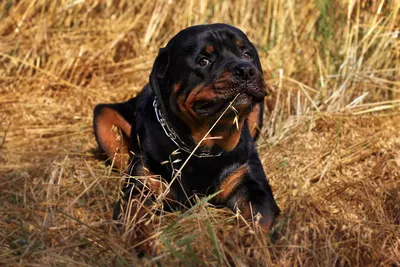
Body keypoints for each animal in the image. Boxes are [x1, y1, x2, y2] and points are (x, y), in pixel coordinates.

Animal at [94, 24, 280, 250]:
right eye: (203, 60)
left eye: (247, 54)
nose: (245, 69)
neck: (204, 145)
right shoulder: (143, 186)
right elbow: (135, 216)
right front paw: (142, 243)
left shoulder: (252, 185)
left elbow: (258, 219)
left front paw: (247, 244)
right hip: (103, 116)